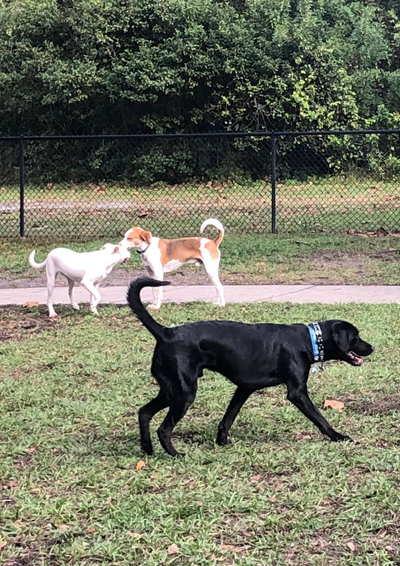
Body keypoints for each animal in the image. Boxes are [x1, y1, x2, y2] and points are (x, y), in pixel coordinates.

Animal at [126, 278, 374, 460]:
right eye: (356, 336)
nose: (371, 347)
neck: (310, 339)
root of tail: (166, 332)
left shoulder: (244, 389)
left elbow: (228, 417)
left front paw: (222, 440)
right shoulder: (297, 393)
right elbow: (320, 418)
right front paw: (337, 436)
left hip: (170, 389)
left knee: (144, 412)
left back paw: (147, 449)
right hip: (184, 392)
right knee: (164, 428)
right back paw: (175, 453)